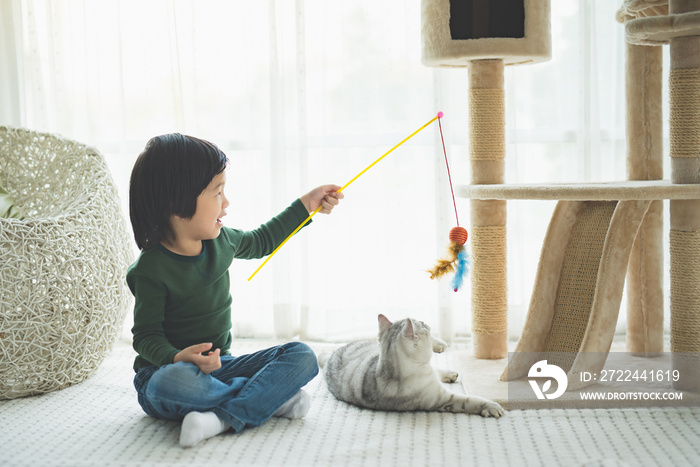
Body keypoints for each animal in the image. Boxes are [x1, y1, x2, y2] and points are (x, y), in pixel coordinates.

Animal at [322, 316, 504, 418]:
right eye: (422, 324)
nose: (426, 322)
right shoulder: (443, 399)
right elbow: (472, 401)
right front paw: (492, 407)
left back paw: (443, 352)